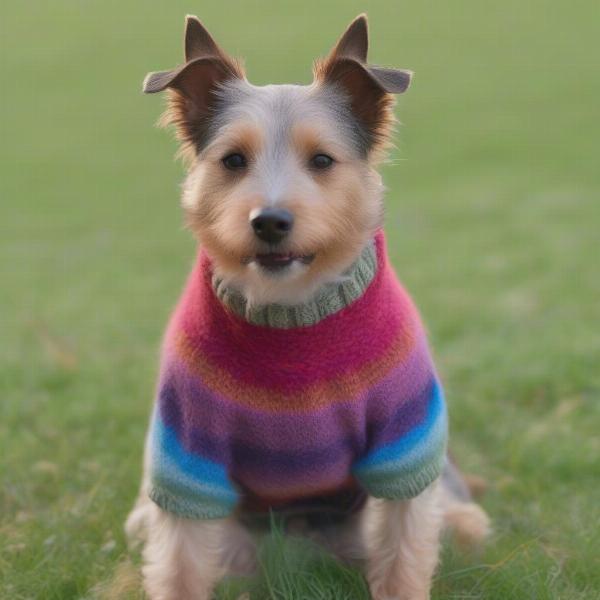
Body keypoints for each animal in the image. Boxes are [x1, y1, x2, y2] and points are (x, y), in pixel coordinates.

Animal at [125, 14, 488, 600]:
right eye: (233, 160)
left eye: (322, 160)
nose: (269, 220)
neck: (289, 313)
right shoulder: (187, 458)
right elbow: (179, 563)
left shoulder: (405, 447)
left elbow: (404, 552)